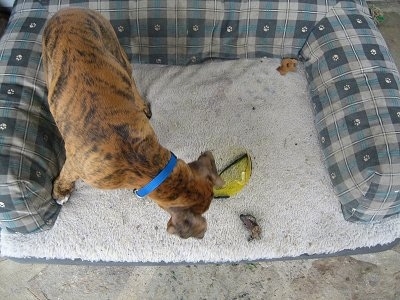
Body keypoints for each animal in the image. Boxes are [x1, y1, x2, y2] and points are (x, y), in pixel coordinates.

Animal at [44, 7, 225, 239]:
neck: (142, 162)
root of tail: (68, 9)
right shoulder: (76, 164)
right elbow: (66, 175)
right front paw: (61, 192)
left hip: (116, 52)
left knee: (131, 82)